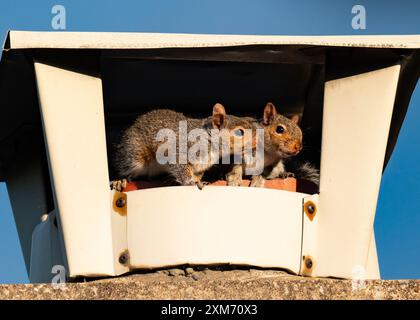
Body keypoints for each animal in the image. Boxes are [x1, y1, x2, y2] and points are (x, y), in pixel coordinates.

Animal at [111, 104, 256, 190]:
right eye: (239, 132)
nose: (256, 141)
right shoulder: (181, 149)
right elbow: (180, 167)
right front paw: (190, 182)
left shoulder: (200, 166)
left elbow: (196, 173)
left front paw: (197, 180)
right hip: (133, 154)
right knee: (123, 168)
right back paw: (119, 180)